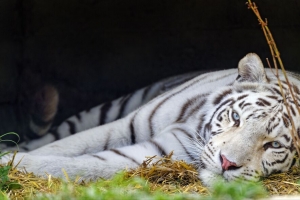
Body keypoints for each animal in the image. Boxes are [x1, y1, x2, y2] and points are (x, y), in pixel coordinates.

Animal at [1, 53, 298, 186]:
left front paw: (13, 164)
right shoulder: (124, 125)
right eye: (236, 118)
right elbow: (63, 147)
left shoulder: (158, 152)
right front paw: (9, 160)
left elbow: (83, 165)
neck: (193, 126)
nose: (227, 163)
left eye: (273, 145)